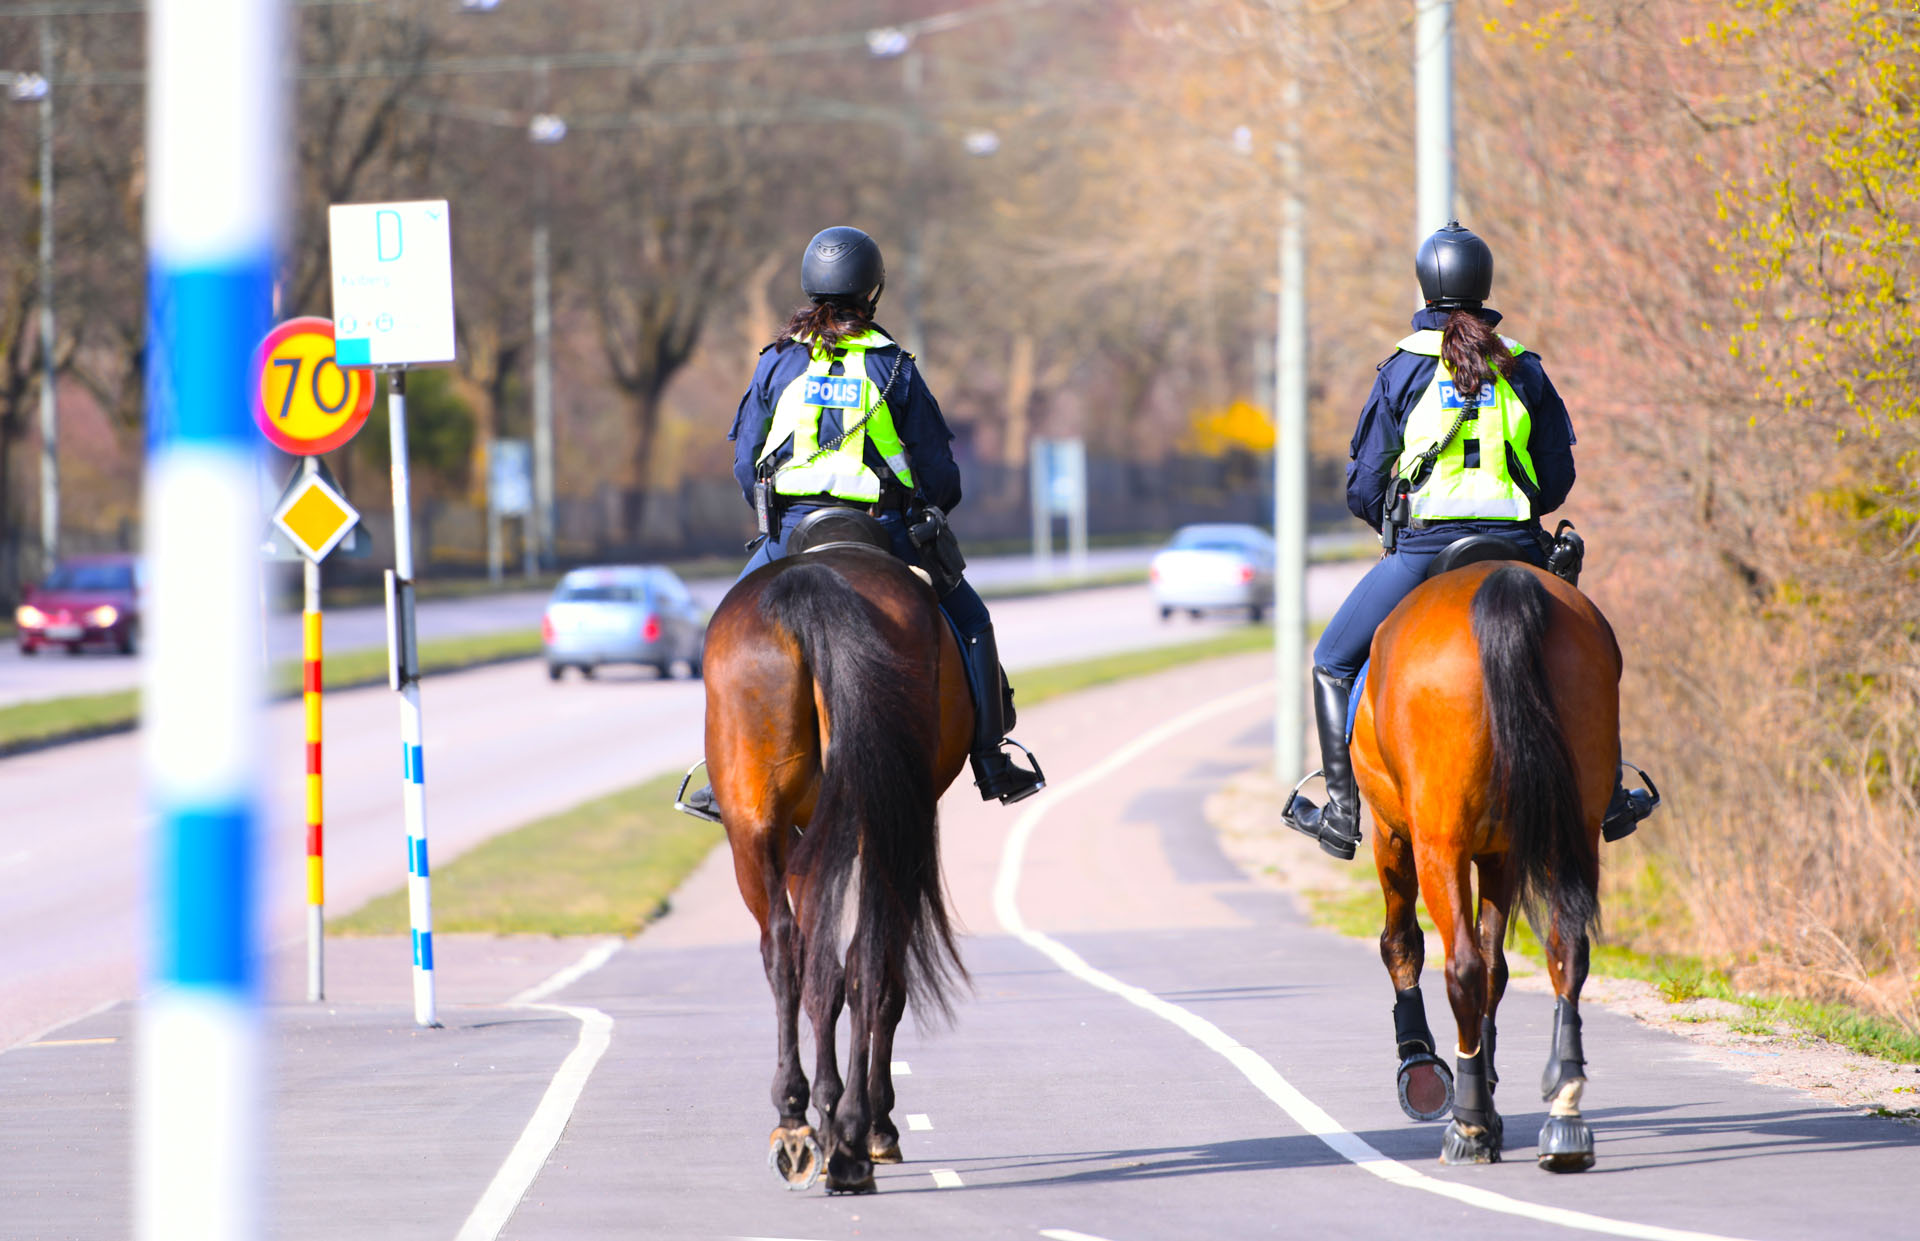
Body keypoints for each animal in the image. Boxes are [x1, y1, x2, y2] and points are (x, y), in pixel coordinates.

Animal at [702, 545, 975, 1198]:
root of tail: (812, 582)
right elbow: (874, 983)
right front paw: (871, 1124)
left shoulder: (807, 844)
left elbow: (819, 975)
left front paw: (825, 1113)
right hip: (881, 832)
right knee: (867, 958)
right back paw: (854, 1135)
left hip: (755, 826)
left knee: (790, 951)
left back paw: (799, 1123)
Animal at [1351, 560, 1620, 1175]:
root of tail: (1501, 582)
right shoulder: (1502, 855)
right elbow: (1500, 968)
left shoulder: (1393, 835)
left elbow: (1403, 943)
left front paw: (1425, 1069)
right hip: (1574, 832)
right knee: (1566, 951)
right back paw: (1565, 1116)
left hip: (1437, 844)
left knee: (1462, 967)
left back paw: (1468, 1126)